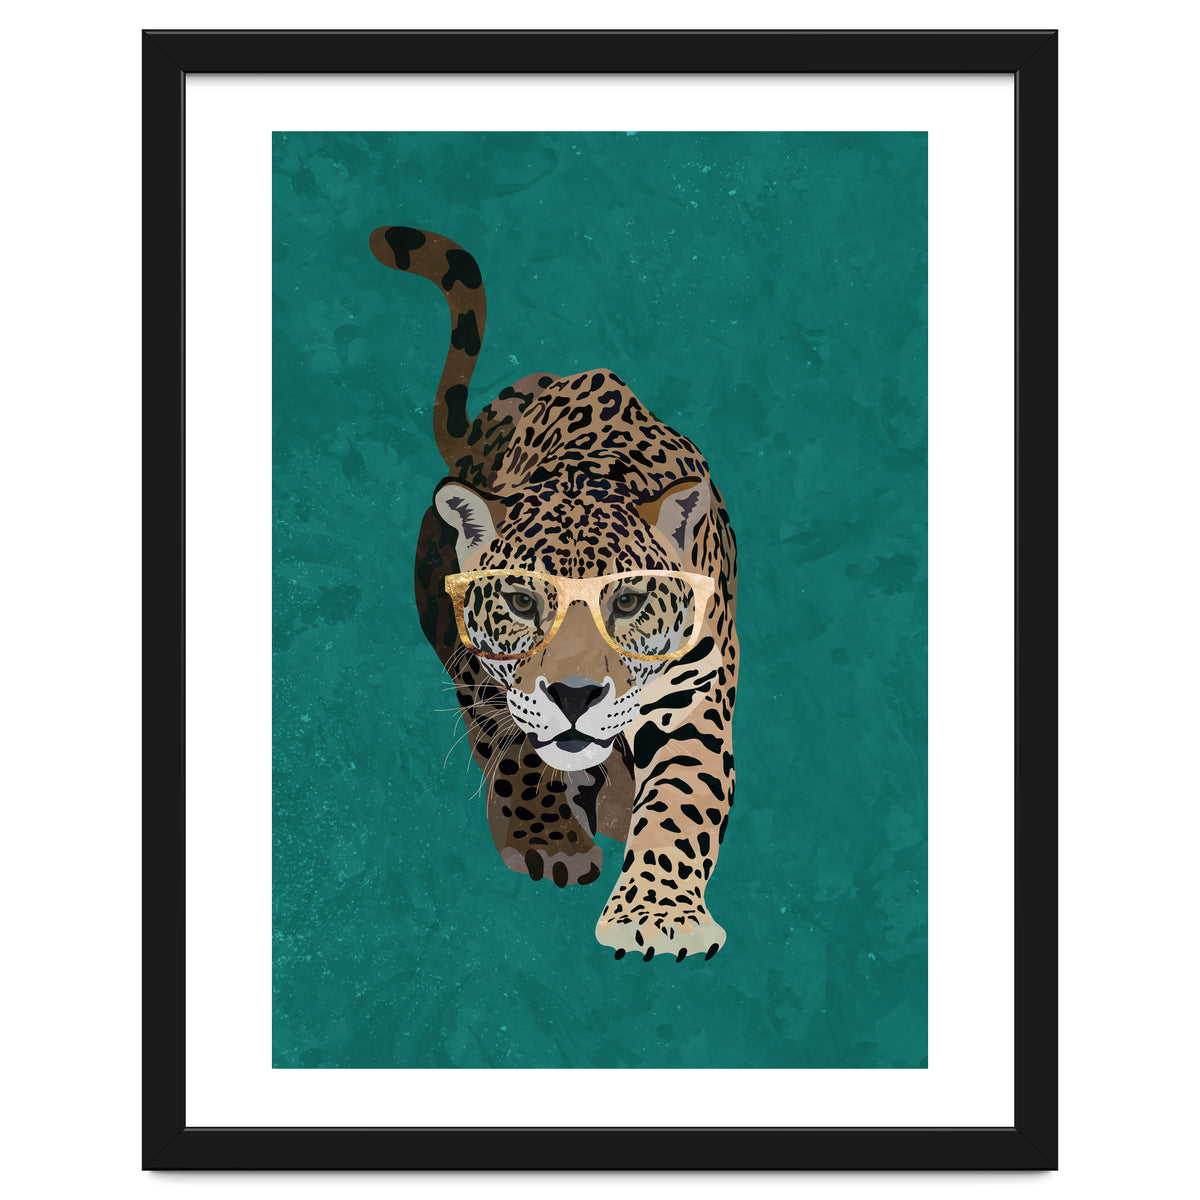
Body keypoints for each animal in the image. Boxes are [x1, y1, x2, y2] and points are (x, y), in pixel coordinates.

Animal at [369, 225, 738, 962]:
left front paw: (658, 916)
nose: (574, 696)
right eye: (521, 602)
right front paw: (549, 841)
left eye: (626, 602)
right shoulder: (483, 673)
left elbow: (682, 799)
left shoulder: (694, 692)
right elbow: (516, 750)